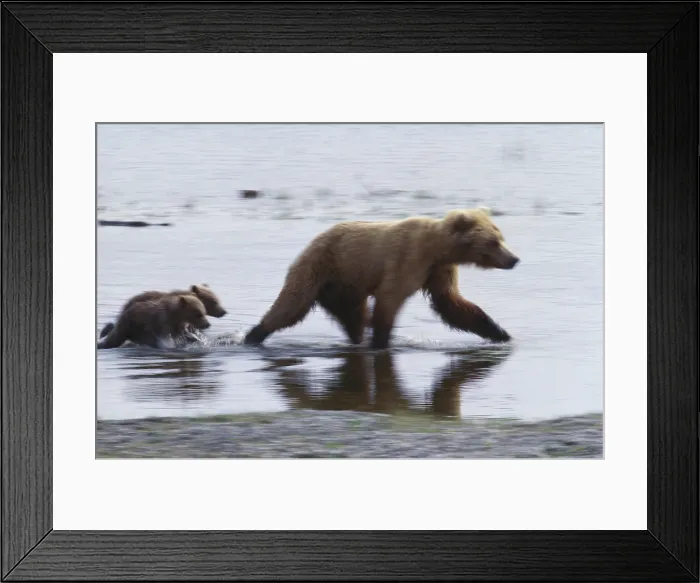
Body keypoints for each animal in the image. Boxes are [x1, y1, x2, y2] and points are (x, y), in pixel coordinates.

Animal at [243, 208, 519, 349]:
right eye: (493, 242)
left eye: (501, 237)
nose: (514, 259)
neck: (437, 248)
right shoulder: (408, 259)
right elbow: (390, 298)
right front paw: (381, 341)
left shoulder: (439, 270)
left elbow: (452, 304)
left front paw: (500, 332)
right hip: (320, 268)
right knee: (291, 305)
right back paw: (254, 335)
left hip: (347, 287)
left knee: (353, 318)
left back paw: (357, 339)